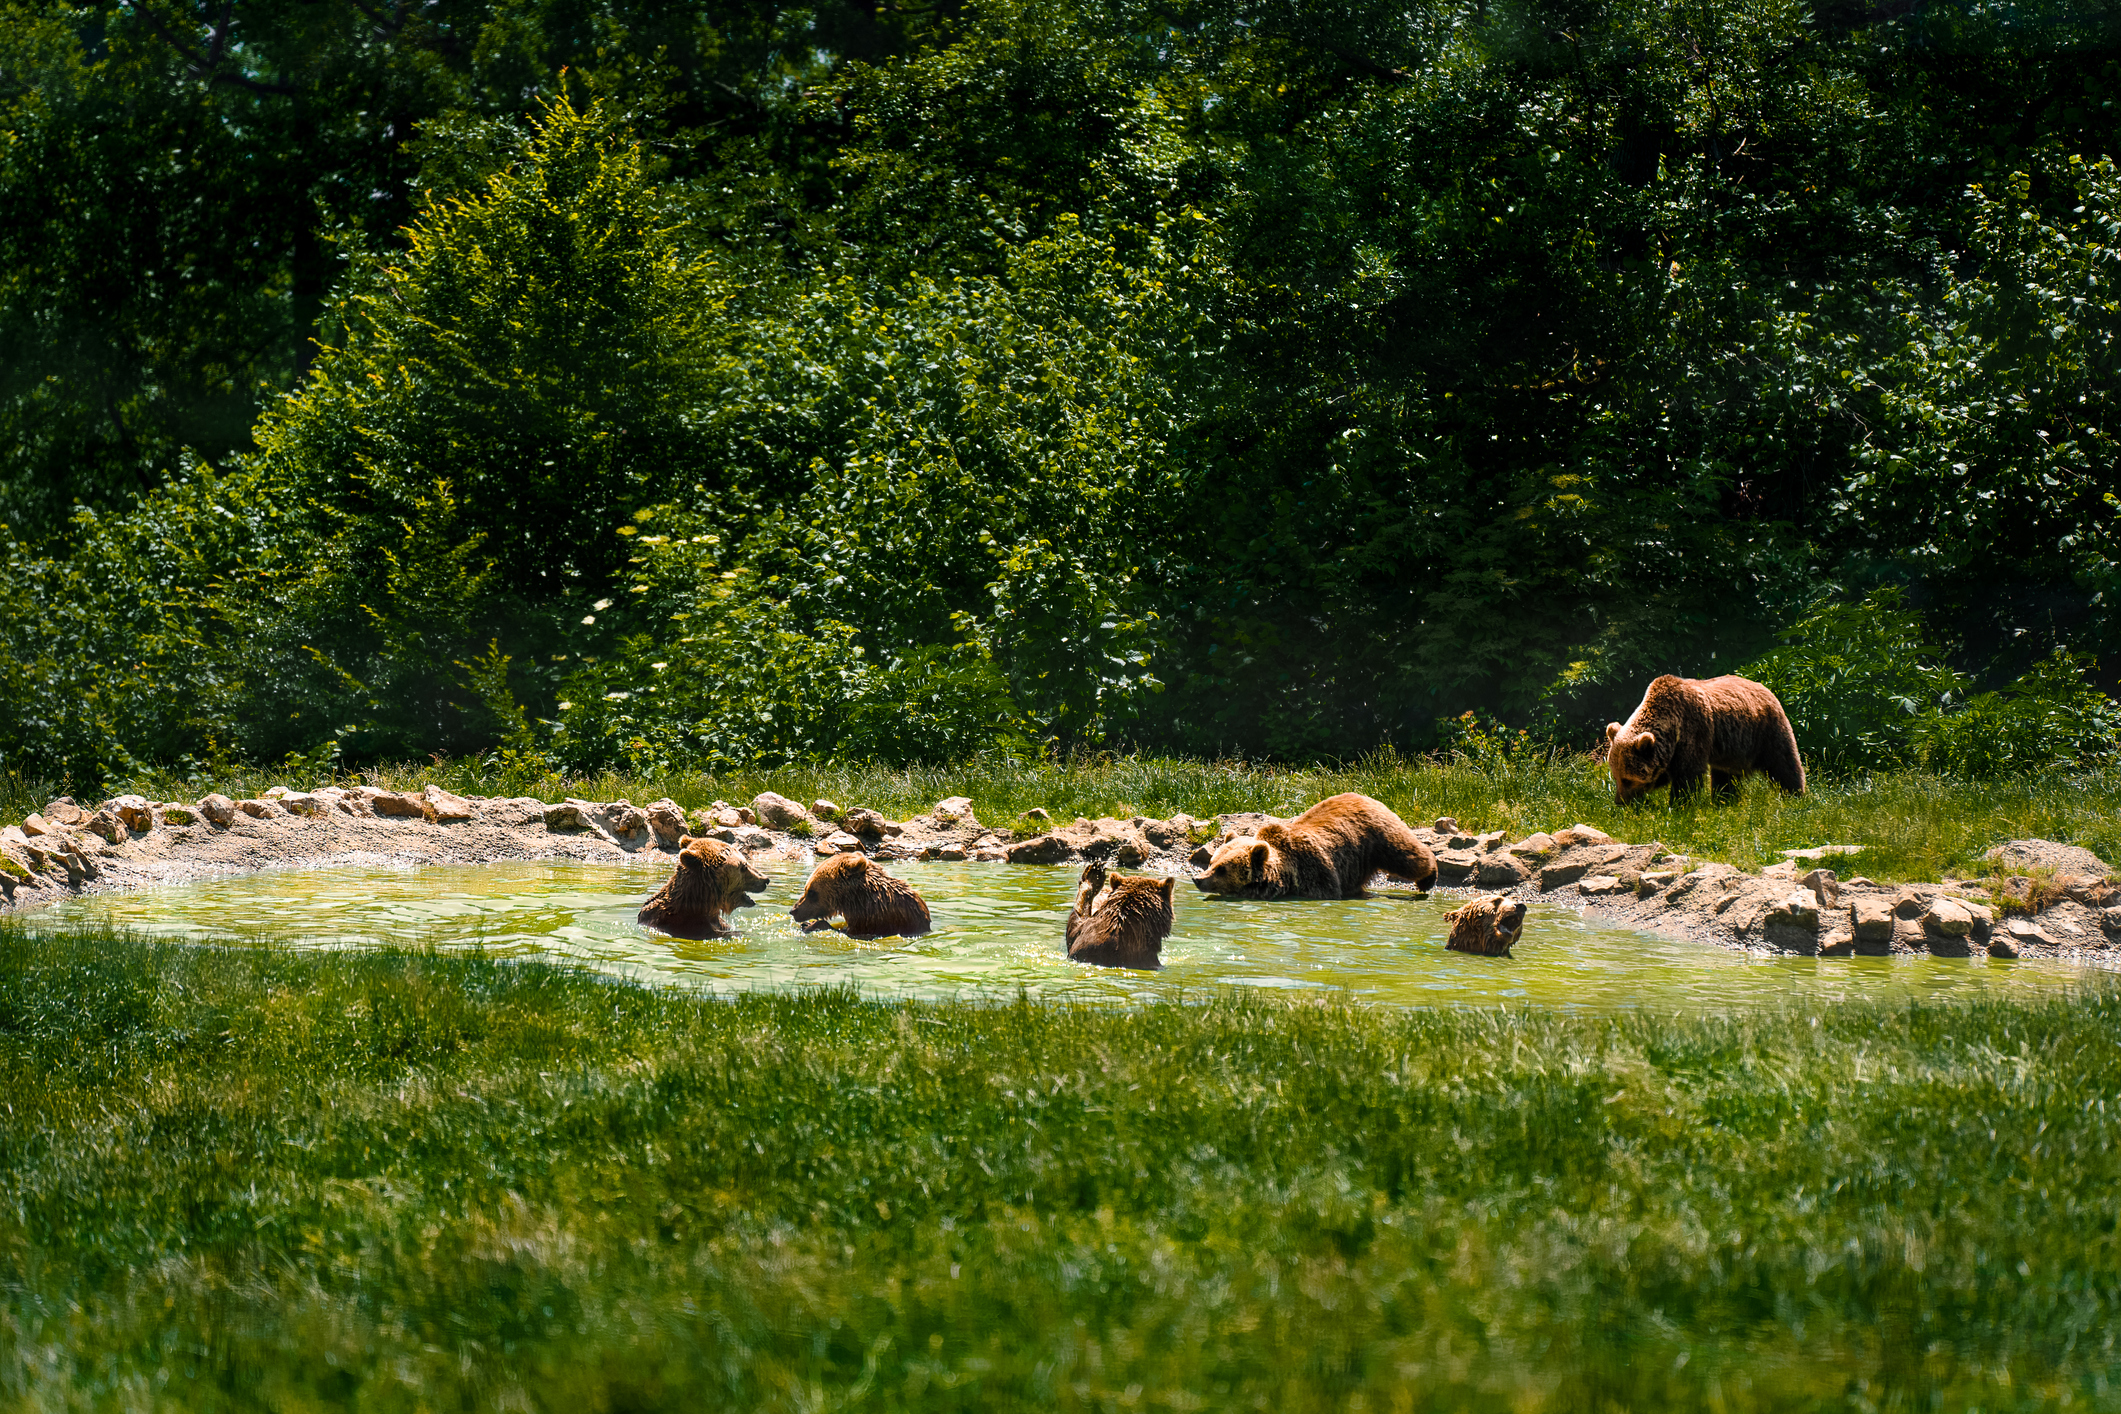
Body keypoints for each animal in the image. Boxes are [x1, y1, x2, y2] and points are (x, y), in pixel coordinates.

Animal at [1193, 792, 1437, 899]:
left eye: (1222, 869)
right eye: (1211, 862)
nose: (1197, 879)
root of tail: (1368, 796)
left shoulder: (1315, 872)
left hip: (1377, 838)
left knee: (1405, 856)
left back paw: (1428, 877)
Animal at [1603, 674, 1806, 804]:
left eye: (1627, 779)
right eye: (1616, 776)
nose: (1620, 802)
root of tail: (1764, 687)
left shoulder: (1693, 730)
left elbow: (1687, 775)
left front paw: (1679, 805)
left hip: (1766, 730)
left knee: (1783, 763)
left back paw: (1795, 797)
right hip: (1730, 750)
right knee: (1725, 777)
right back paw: (1724, 802)